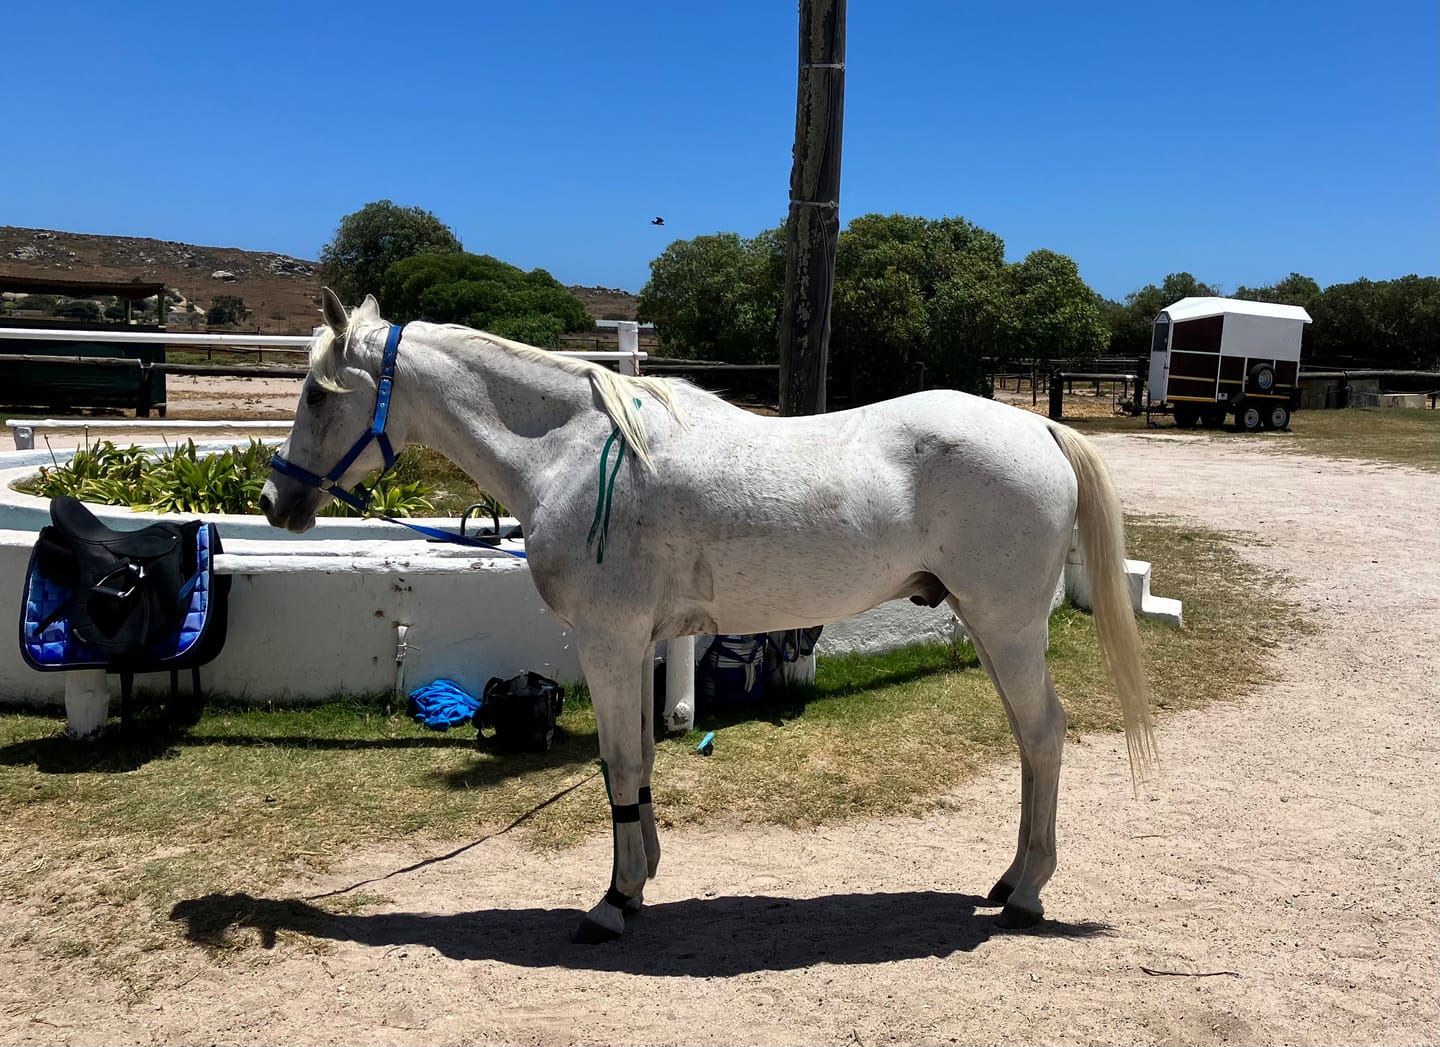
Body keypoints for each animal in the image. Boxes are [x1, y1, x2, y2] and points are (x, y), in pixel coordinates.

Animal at [261, 289, 1157, 943]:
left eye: (316, 393)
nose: (276, 501)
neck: (569, 452)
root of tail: (1040, 426)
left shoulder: (607, 641)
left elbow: (620, 762)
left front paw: (612, 904)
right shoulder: (635, 645)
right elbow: (636, 766)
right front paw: (638, 881)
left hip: (1007, 626)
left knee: (1044, 734)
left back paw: (1027, 894)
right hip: (992, 627)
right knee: (1030, 742)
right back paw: (1008, 880)